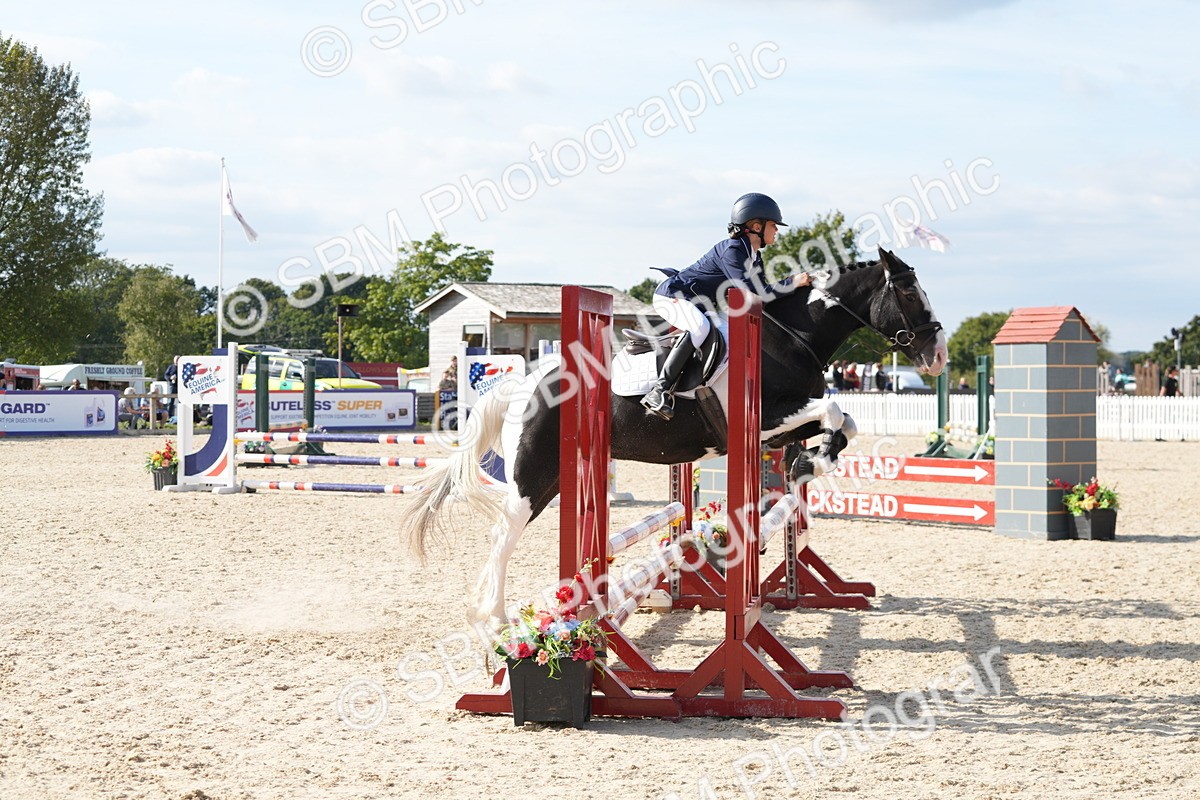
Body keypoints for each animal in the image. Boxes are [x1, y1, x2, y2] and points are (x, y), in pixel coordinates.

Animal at [402, 248, 948, 626]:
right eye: (908, 295)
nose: (938, 355)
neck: (790, 336)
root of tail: (520, 383)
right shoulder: (762, 419)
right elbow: (835, 410)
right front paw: (810, 462)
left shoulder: (783, 422)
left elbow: (843, 423)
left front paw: (807, 463)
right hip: (532, 476)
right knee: (503, 533)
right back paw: (495, 618)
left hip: (558, 476)